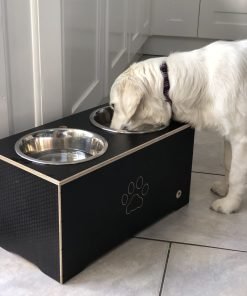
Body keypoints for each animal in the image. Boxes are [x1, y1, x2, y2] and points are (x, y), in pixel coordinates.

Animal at [110, 40, 247, 214]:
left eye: (113, 106)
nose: (112, 130)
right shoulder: (229, 134)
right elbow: (228, 164)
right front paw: (224, 189)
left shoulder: (241, 139)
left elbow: (236, 174)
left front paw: (229, 204)